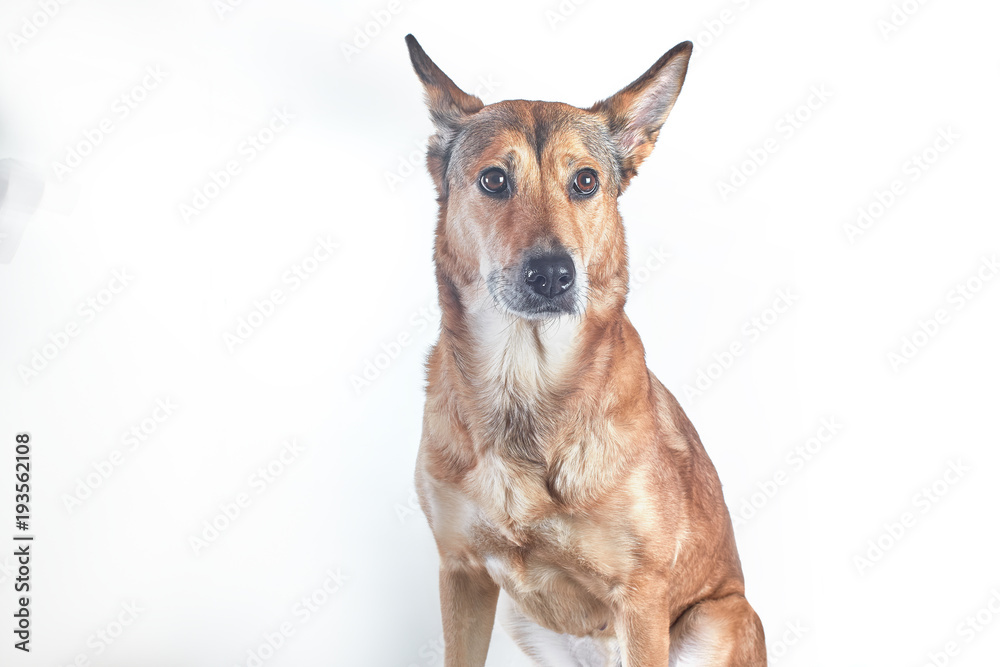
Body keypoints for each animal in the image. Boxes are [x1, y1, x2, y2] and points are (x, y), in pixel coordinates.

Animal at [406, 34, 764, 664]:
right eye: (494, 180)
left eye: (585, 182)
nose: (553, 274)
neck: (525, 379)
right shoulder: (460, 574)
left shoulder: (641, 597)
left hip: (721, 617)